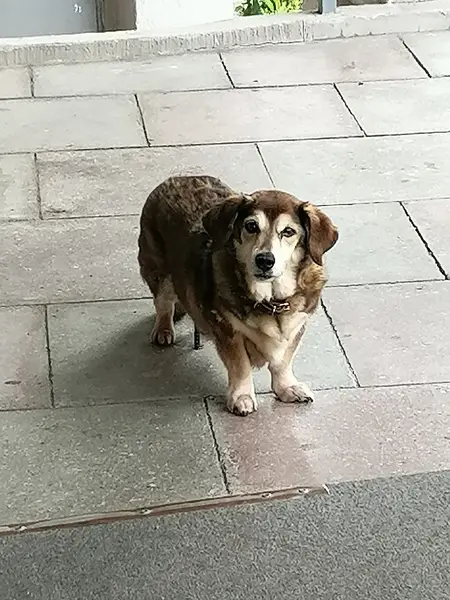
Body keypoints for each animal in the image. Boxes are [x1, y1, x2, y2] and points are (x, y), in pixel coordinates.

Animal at [138, 176, 338, 416]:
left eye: (288, 231)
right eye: (251, 226)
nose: (265, 260)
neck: (270, 300)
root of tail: (174, 178)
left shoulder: (297, 326)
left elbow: (283, 361)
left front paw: (287, 388)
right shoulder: (228, 329)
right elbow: (240, 365)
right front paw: (242, 397)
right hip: (160, 272)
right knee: (164, 304)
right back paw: (163, 330)